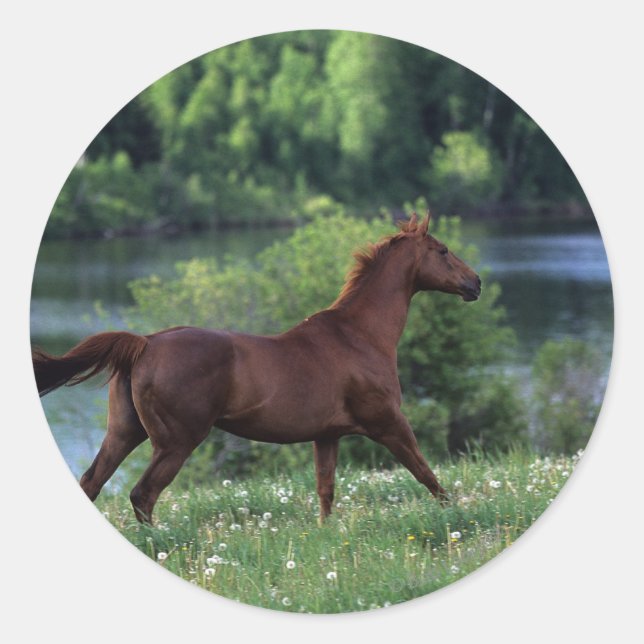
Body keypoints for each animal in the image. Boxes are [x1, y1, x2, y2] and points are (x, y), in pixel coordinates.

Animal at [33, 212, 481, 524]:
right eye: (443, 250)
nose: (475, 283)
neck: (359, 335)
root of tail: (145, 343)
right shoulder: (389, 422)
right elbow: (426, 474)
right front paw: (456, 517)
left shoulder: (327, 436)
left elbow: (326, 491)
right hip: (176, 441)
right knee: (143, 494)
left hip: (125, 432)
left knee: (92, 482)